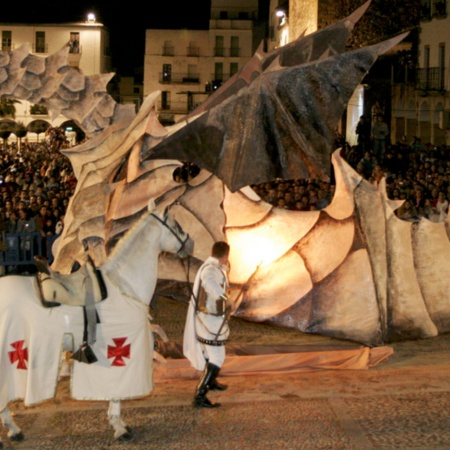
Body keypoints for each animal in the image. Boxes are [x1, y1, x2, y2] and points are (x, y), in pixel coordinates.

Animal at [0, 202, 193, 444]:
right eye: (175, 225)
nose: (190, 244)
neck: (123, 286)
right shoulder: (122, 351)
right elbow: (117, 392)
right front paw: (120, 427)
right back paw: (14, 429)